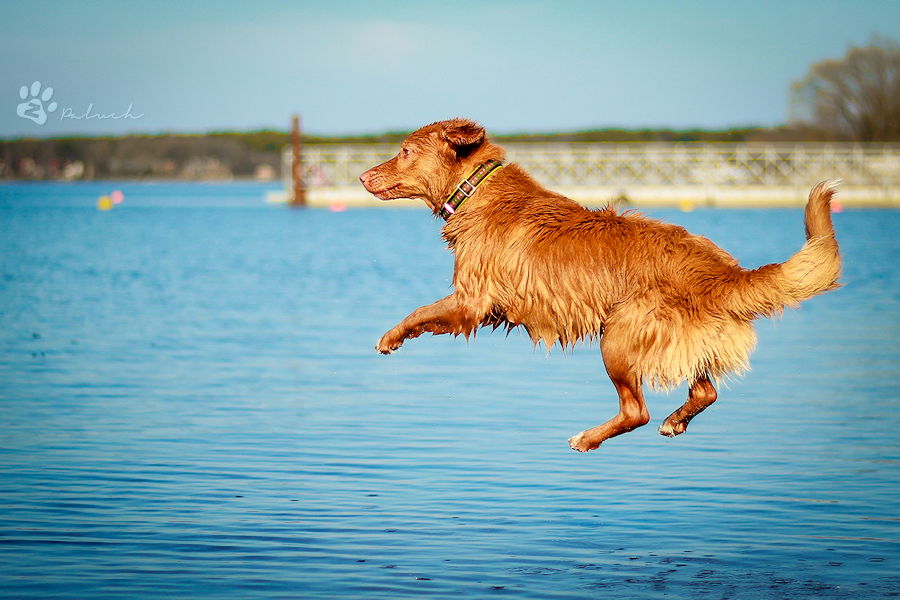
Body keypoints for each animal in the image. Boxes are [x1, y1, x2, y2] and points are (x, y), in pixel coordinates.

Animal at [358, 118, 844, 450]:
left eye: (405, 150)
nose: (362, 176)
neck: (477, 190)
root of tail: (724, 272)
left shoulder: (472, 299)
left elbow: (420, 312)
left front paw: (389, 339)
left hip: (619, 337)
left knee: (637, 411)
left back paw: (588, 438)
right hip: (687, 339)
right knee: (705, 390)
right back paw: (675, 421)